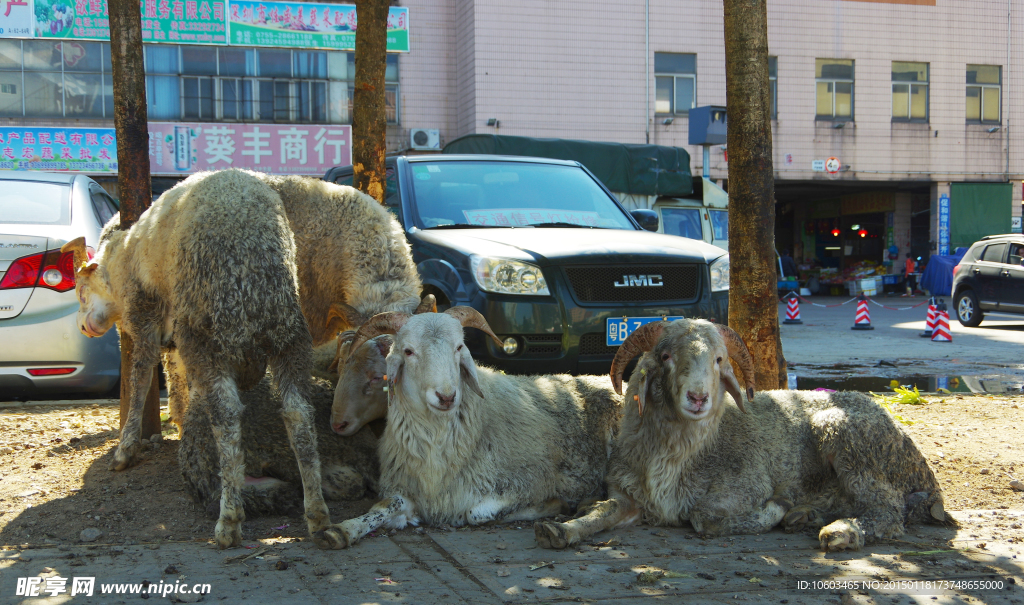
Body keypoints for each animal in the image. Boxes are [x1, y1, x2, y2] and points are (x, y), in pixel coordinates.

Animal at [64, 168, 352, 548]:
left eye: (81, 291)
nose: (82, 327)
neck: (120, 259)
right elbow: (178, 380)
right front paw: (181, 419)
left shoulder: (144, 316)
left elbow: (140, 380)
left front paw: (125, 449)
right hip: (288, 333)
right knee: (298, 415)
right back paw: (318, 515)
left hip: (208, 332)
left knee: (226, 417)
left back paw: (229, 520)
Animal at [335, 309, 622, 548]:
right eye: (408, 351)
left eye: (459, 347)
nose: (446, 397)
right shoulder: (409, 492)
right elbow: (382, 508)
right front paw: (342, 530)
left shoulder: (525, 483)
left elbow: (476, 513)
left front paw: (553, 505)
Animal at [536, 319, 950, 552]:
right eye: (666, 356)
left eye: (719, 359)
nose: (698, 397)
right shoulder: (630, 496)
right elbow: (602, 512)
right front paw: (562, 530)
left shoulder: (747, 485)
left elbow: (705, 518)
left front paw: (776, 508)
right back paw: (807, 515)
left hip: (848, 438)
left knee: (887, 511)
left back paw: (839, 531)